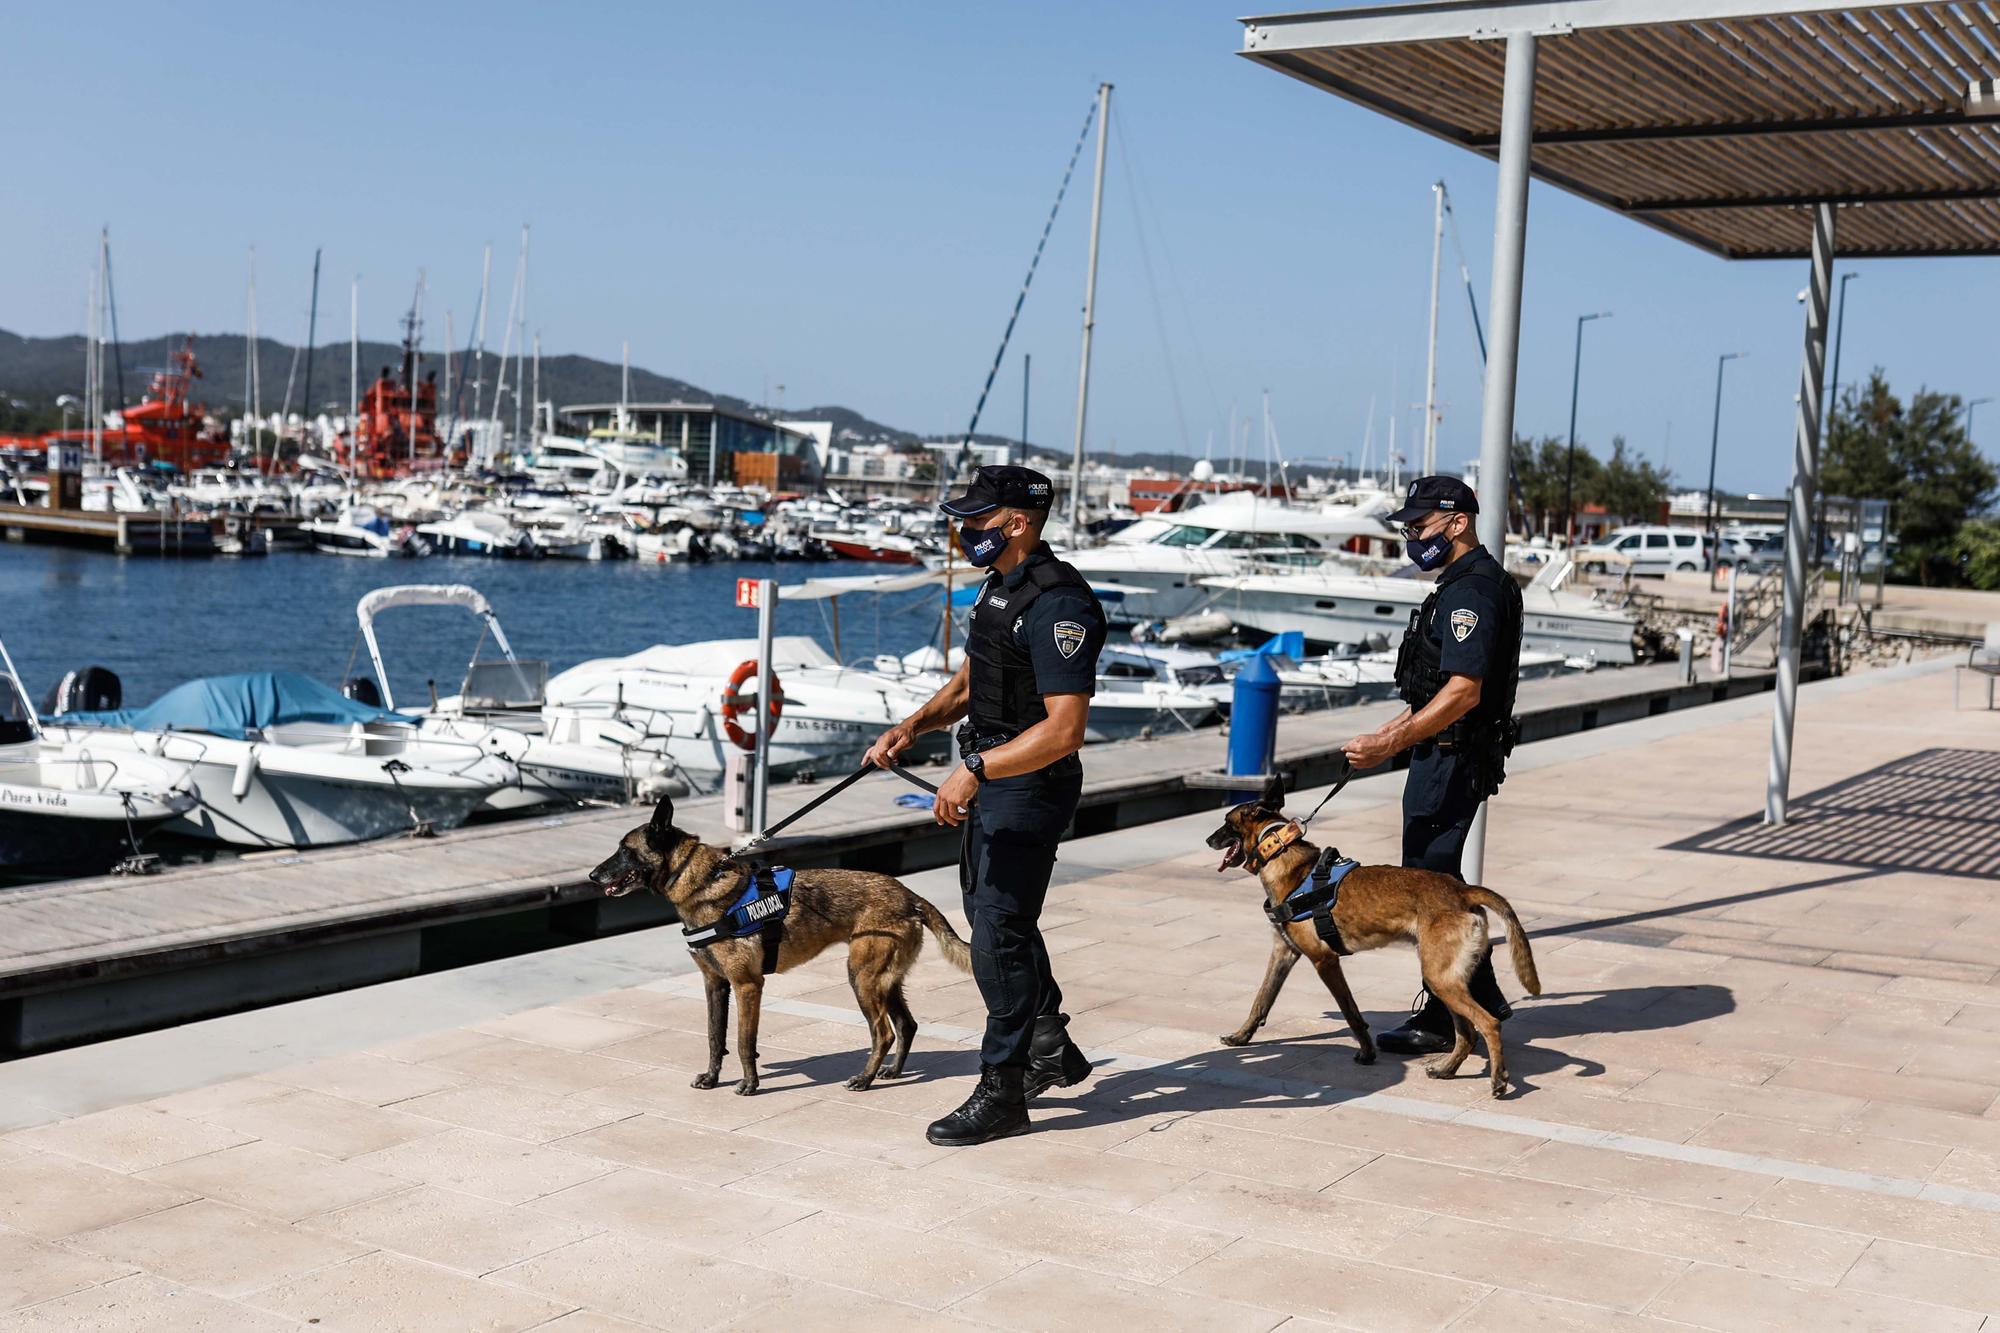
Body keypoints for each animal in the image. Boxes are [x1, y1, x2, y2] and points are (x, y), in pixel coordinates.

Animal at [588, 792, 972, 1096]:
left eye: (625, 850)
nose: (593, 876)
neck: (700, 883)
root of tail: (910, 896)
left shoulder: (747, 986)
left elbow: (744, 1041)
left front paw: (749, 1084)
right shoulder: (715, 984)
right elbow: (715, 1037)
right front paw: (712, 1079)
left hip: (863, 978)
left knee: (883, 1032)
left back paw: (864, 1079)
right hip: (884, 980)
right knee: (907, 1025)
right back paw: (890, 1071)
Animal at [1200, 772, 1544, 1096]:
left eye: (1226, 823)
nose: (1207, 839)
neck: (1281, 856)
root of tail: (1461, 889)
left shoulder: (1325, 961)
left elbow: (1351, 1013)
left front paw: (1366, 1053)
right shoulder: (1283, 953)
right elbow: (1261, 1000)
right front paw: (1241, 1036)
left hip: (1439, 977)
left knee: (1488, 1024)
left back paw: (1497, 1081)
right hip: (1447, 978)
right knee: (1468, 1032)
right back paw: (1447, 1068)